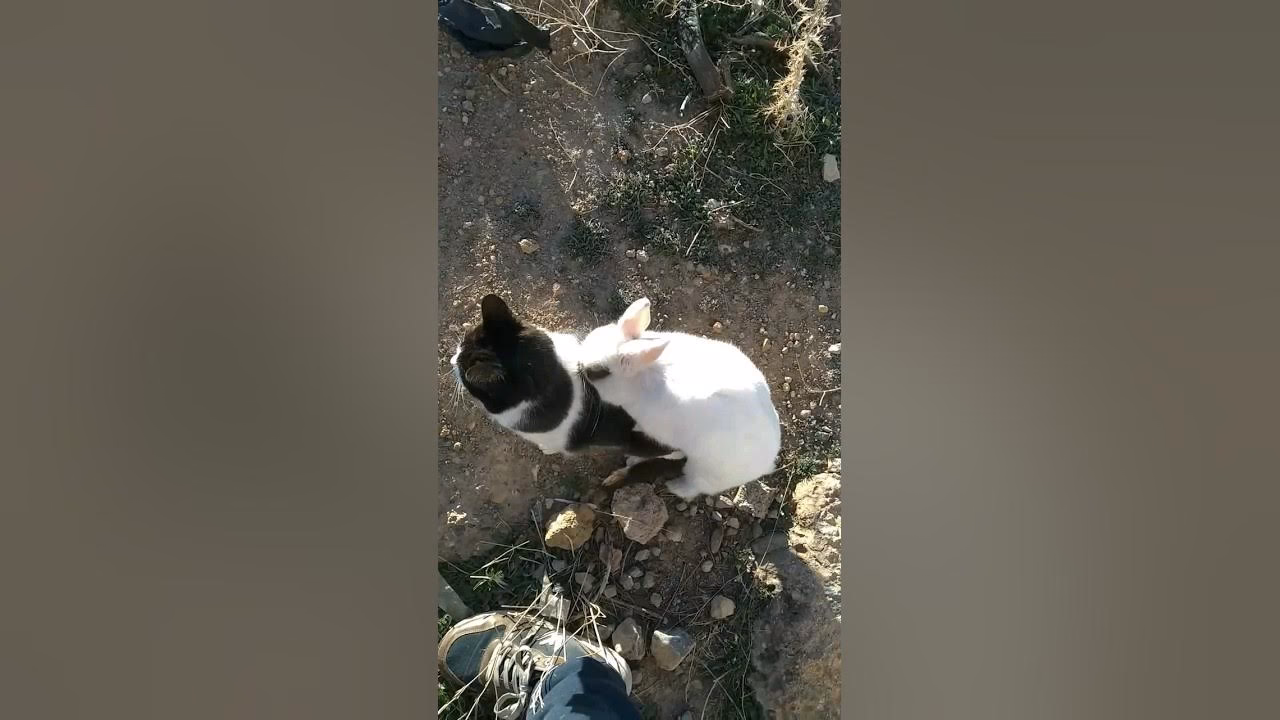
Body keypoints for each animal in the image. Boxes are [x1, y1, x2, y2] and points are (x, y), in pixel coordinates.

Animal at [577, 297, 782, 500]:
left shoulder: (663, 437)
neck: (645, 374)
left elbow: (667, 453)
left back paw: (675, 487)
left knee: (695, 486)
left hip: (702, 472)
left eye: (597, 372)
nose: (577, 366)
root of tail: (767, 462)